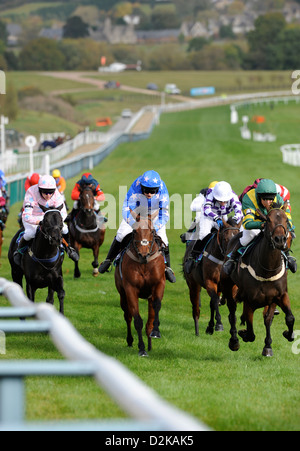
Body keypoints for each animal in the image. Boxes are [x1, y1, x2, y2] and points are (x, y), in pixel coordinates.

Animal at [115, 211, 166, 356]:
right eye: (134, 231)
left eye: (152, 231)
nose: (144, 254)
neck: (144, 264)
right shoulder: (130, 289)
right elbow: (137, 320)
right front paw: (142, 348)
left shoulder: (159, 284)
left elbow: (157, 306)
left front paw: (155, 332)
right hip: (122, 295)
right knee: (128, 316)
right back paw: (130, 340)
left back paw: (150, 342)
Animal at [220, 207, 296, 358]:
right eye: (268, 220)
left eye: (286, 219)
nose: (280, 239)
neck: (267, 270)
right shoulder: (249, 300)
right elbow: (250, 333)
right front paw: (242, 333)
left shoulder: (279, 296)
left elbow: (285, 318)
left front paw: (277, 340)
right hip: (228, 286)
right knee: (232, 314)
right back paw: (234, 341)